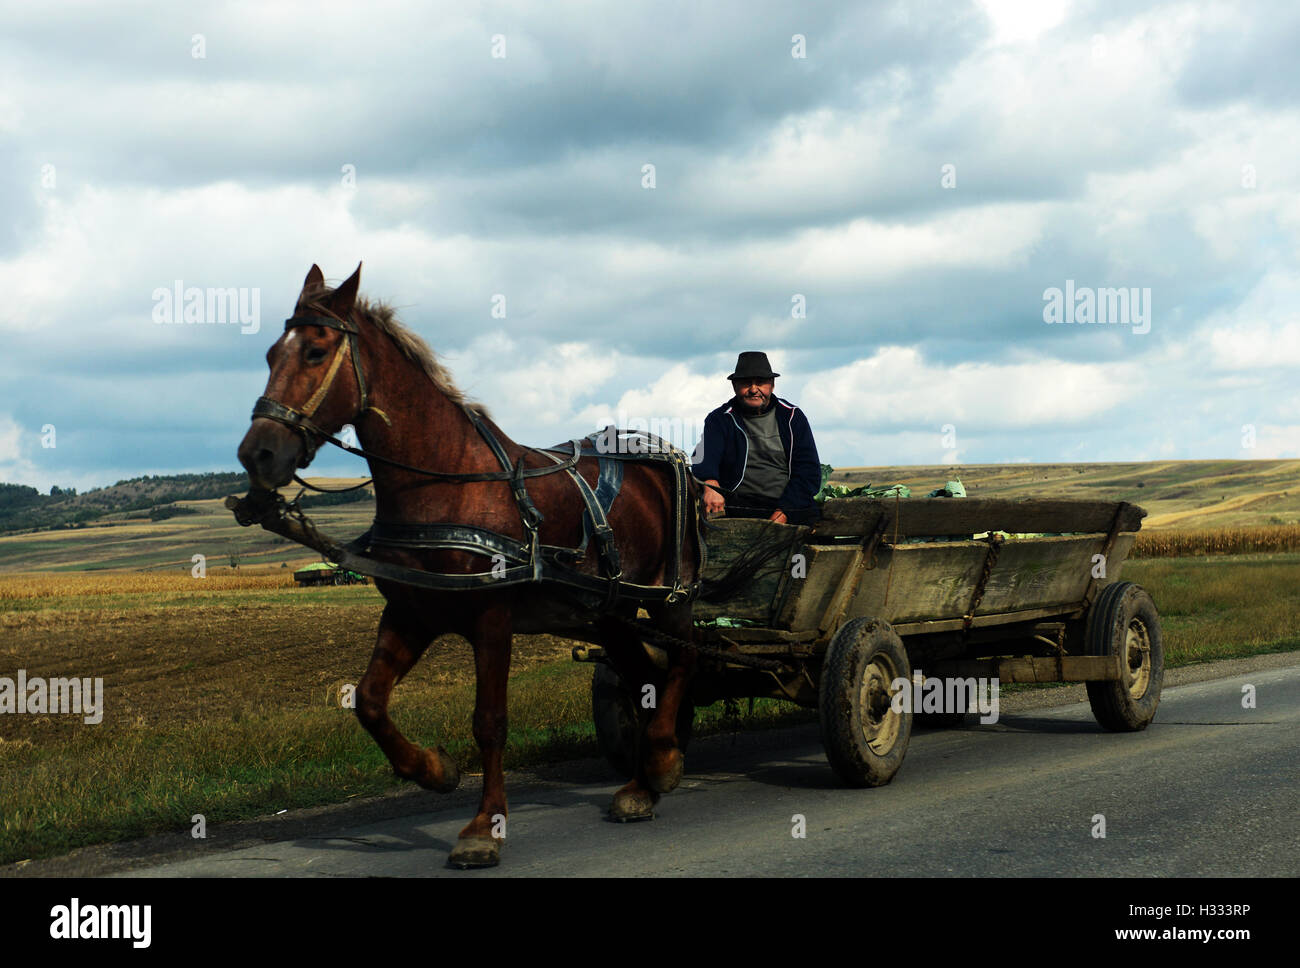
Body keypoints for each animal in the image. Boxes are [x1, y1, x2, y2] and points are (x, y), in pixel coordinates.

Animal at [233, 263, 702, 867]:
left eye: (315, 352)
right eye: (272, 354)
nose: (258, 454)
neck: (446, 482)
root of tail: (668, 459)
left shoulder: (492, 620)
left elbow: (490, 723)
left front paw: (485, 826)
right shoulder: (410, 615)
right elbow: (369, 702)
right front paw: (433, 770)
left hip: (670, 595)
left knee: (681, 662)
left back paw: (663, 759)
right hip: (608, 611)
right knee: (645, 677)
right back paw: (641, 785)